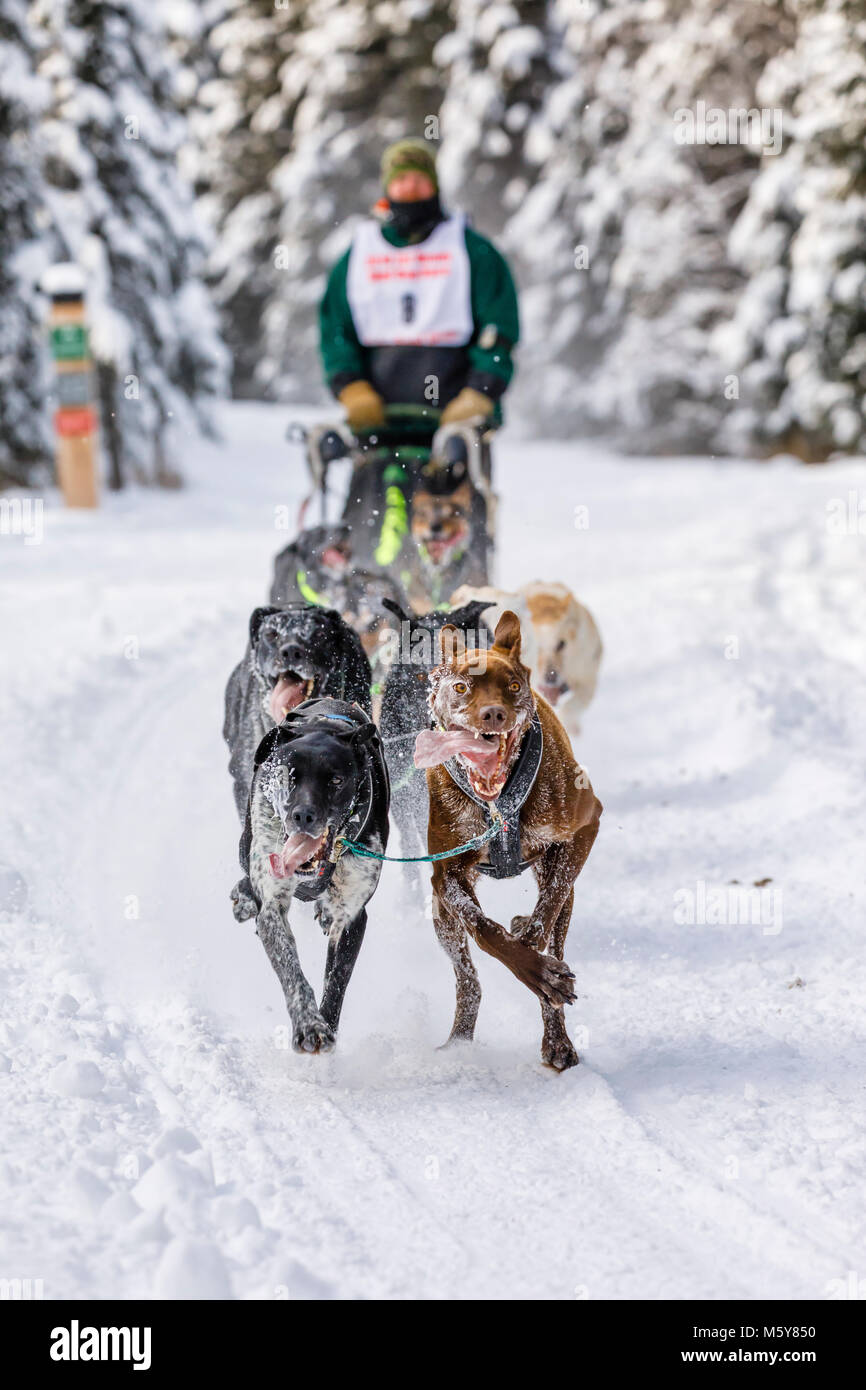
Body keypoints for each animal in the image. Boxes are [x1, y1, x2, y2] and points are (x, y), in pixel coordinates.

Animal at [244, 695, 391, 1050]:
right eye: (288, 776)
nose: (303, 816)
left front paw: (326, 1024)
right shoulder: (272, 908)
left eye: (336, 780)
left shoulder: (352, 917)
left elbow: (336, 982)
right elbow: (291, 971)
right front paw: (309, 1026)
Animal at [417, 611, 606, 1073]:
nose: (493, 714)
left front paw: (533, 949)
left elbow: (544, 914)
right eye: (461, 687)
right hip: (441, 919)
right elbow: (486, 931)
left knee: (556, 918)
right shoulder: (446, 876)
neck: (497, 802)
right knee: (468, 979)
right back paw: (460, 1041)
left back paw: (557, 1040)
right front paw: (532, 967)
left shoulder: (586, 826)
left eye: (514, 687)